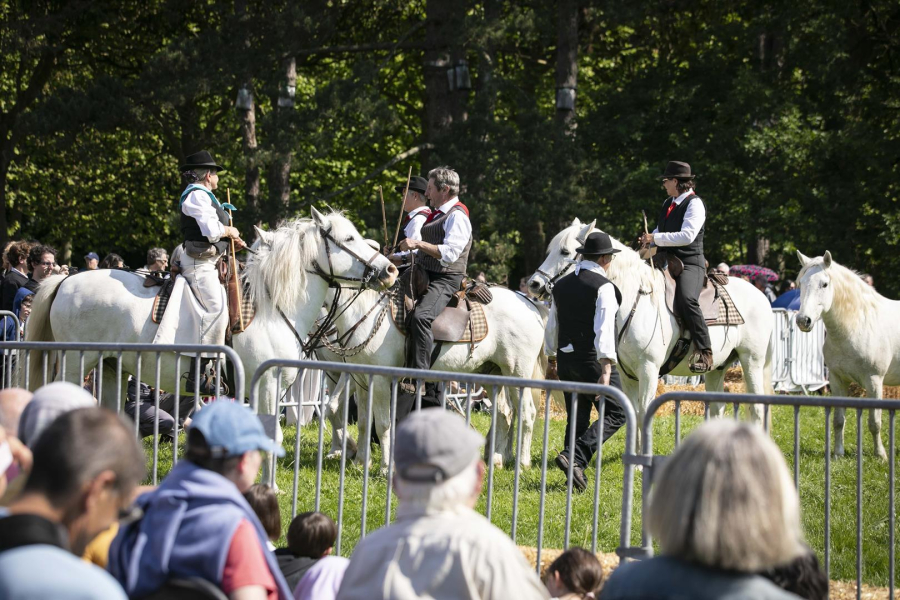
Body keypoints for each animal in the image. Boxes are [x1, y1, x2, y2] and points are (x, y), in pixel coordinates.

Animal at [320, 286, 552, 474]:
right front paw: (360, 462)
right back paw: (496, 459)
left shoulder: (380, 381)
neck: (365, 314)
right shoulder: (361, 380)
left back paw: (522, 463)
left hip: (517, 374)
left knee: (526, 413)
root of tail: (531, 304)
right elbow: (363, 422)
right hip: (493, 375)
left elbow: (383, 425)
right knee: (505, 413)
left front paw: (385, 468)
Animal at [528, 218, 772, 448]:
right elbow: (633, 413)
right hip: (717, 369)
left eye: (565, 251)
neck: (633, 300)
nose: (533, 284)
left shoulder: (648, 369)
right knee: (717, 407)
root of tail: (760, 295)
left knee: (757, 407)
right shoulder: (626, 375)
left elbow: (645, 412)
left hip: (751, 361)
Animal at [800, 248, 888, 460]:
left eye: (824, 284)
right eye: (800, 283)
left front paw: (880, 455)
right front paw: (838, 454)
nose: (802, 320)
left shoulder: (874, 382)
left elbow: (875, 422)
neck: (858, 326)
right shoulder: (837, 380)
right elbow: (839, 420)